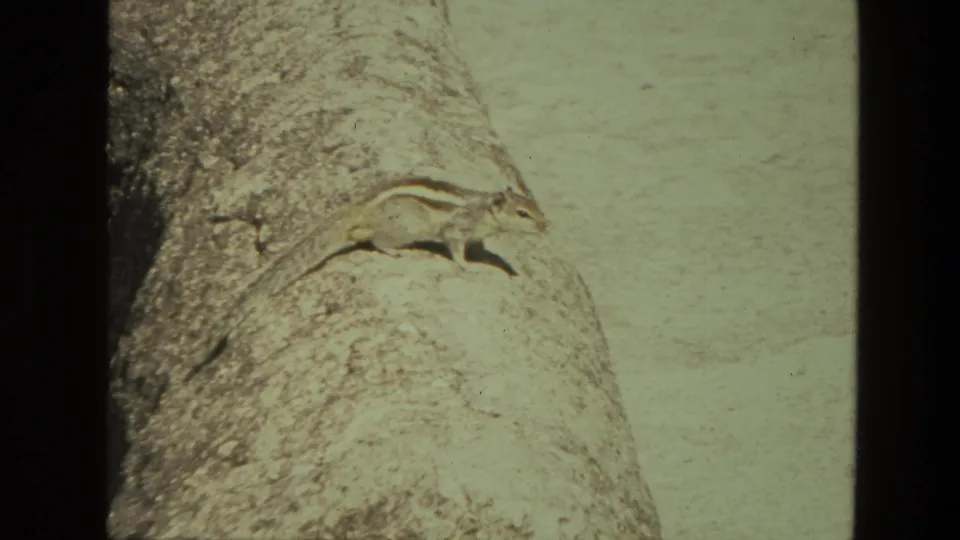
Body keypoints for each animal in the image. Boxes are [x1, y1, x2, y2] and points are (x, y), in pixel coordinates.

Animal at [187, 176, 549, 378]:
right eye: (522, 213)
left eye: (536, 207)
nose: (546, 227)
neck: (482, 209)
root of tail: (359, 209)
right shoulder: (455, 229)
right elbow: (456, 248)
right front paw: (468, 265)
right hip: (404, 227)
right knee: (377, 239)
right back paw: (393, 251)